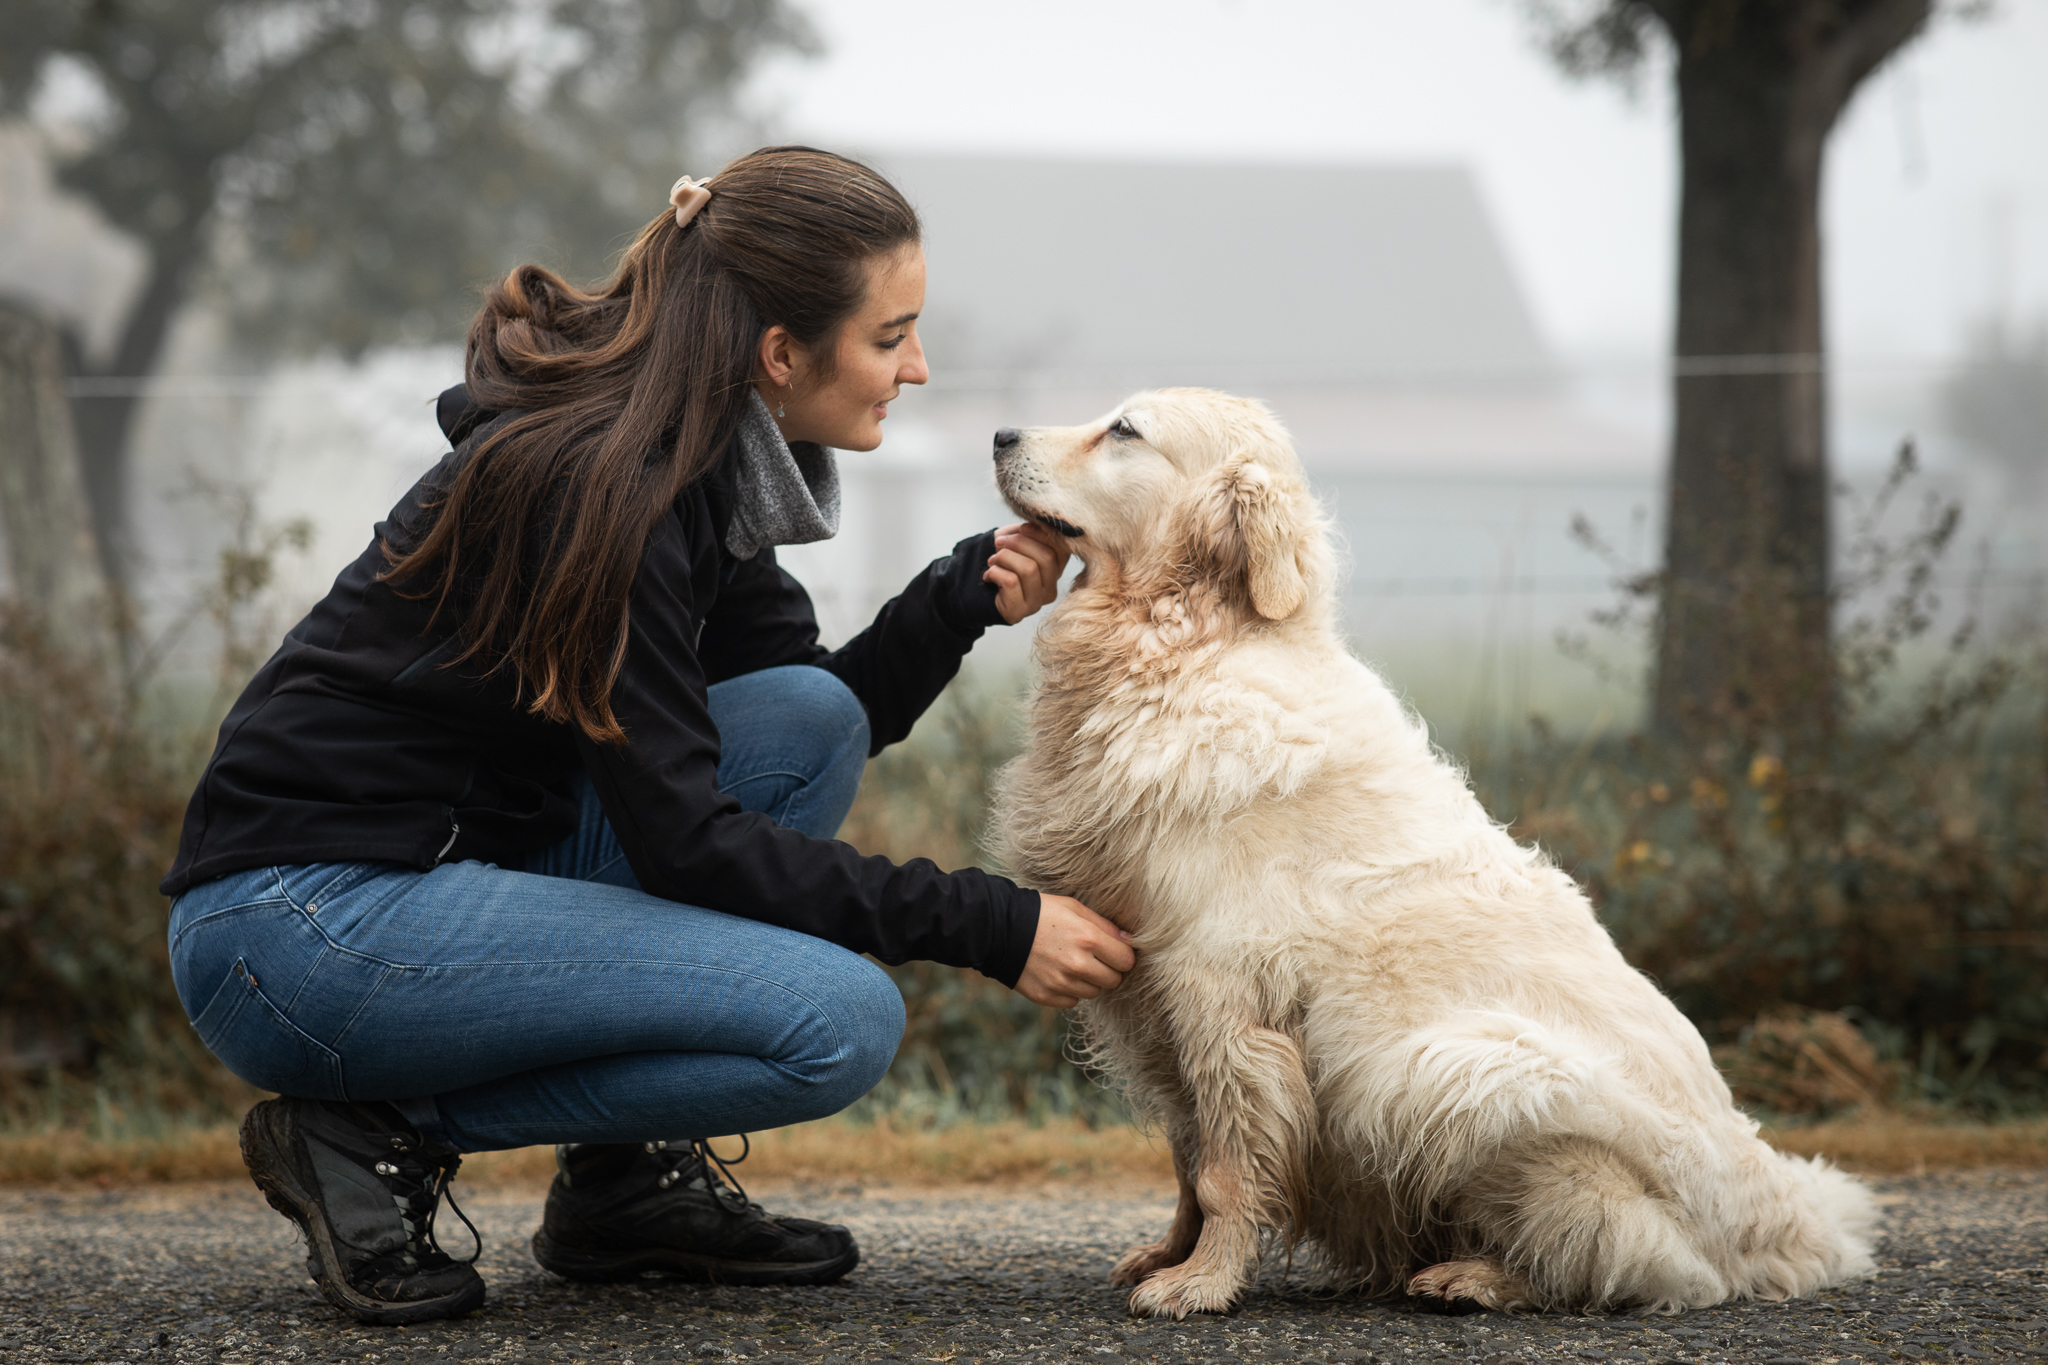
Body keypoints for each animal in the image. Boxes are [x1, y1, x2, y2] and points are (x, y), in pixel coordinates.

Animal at [987, 388, 1875, 1317]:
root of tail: (1782, 1219)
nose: (999, 434)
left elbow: (1227, 1167)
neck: (1189, 647)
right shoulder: (1155, 1004)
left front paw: (1202, 1282)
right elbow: (1188, 1157)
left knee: (1625, 1256)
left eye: (1125, 430)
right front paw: (1170, 1254)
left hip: (1452, 1071)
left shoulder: (1220, 996)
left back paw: (1478, 1274)